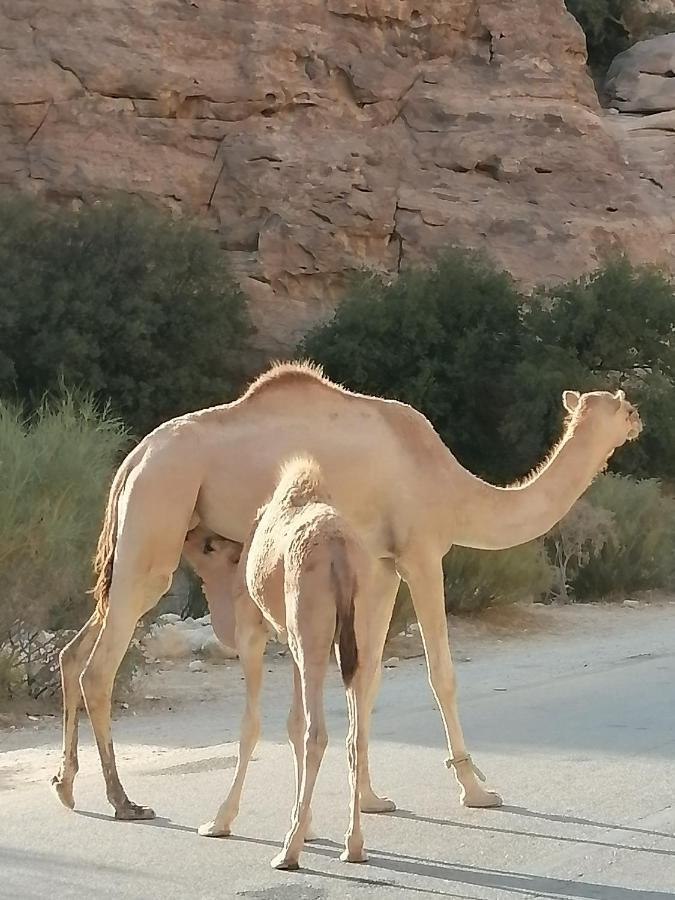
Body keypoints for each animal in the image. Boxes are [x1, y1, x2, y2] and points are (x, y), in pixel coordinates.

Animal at [50, 362, 640, 820]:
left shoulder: (380, 565)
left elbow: (369, 676)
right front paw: (476, 789)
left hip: (137, 540)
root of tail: (134, 458)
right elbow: (441, 674)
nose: (639, 418)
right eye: (621, 405)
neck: (450, 485)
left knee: (74, 652)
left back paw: (67, 786)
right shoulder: (421, 552)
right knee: (100, 666)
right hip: (159, 512)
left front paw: (373, 798)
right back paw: (124, 801)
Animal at [201, 460, 372, 868]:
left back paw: (288, 851)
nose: (193, 535)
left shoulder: (252, 629)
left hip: (309, 627)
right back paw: (353, 846)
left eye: (207, 545)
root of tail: (340, 553)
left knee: (318, 734)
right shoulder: (293, 644)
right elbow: (293, 724)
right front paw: (306, 824)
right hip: (356, 629)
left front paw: (220, 820)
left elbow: (251, 725)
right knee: (355, 735)